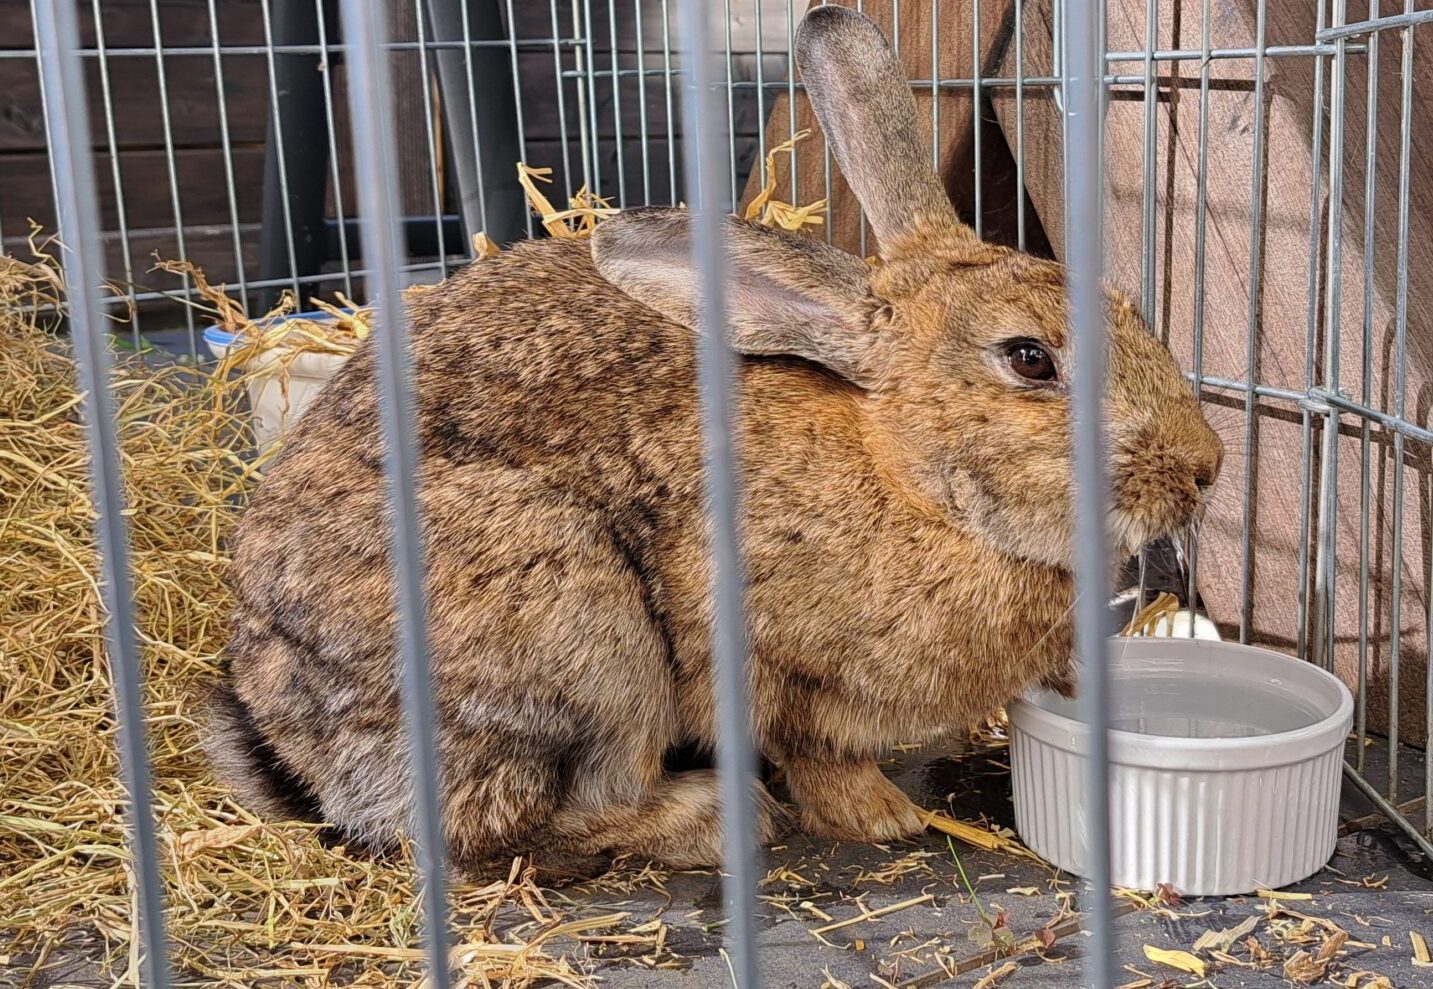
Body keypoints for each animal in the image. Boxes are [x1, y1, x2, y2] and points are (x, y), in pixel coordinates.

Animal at [207, 7, 1220, 871]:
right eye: (1028, 359)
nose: (1204, 468)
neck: (905, 479)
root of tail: (286, 735)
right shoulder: (776, 666)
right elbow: (815, 751)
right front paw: (880, 815)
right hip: (586, 628)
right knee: (543, 812)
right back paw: (713, 817)